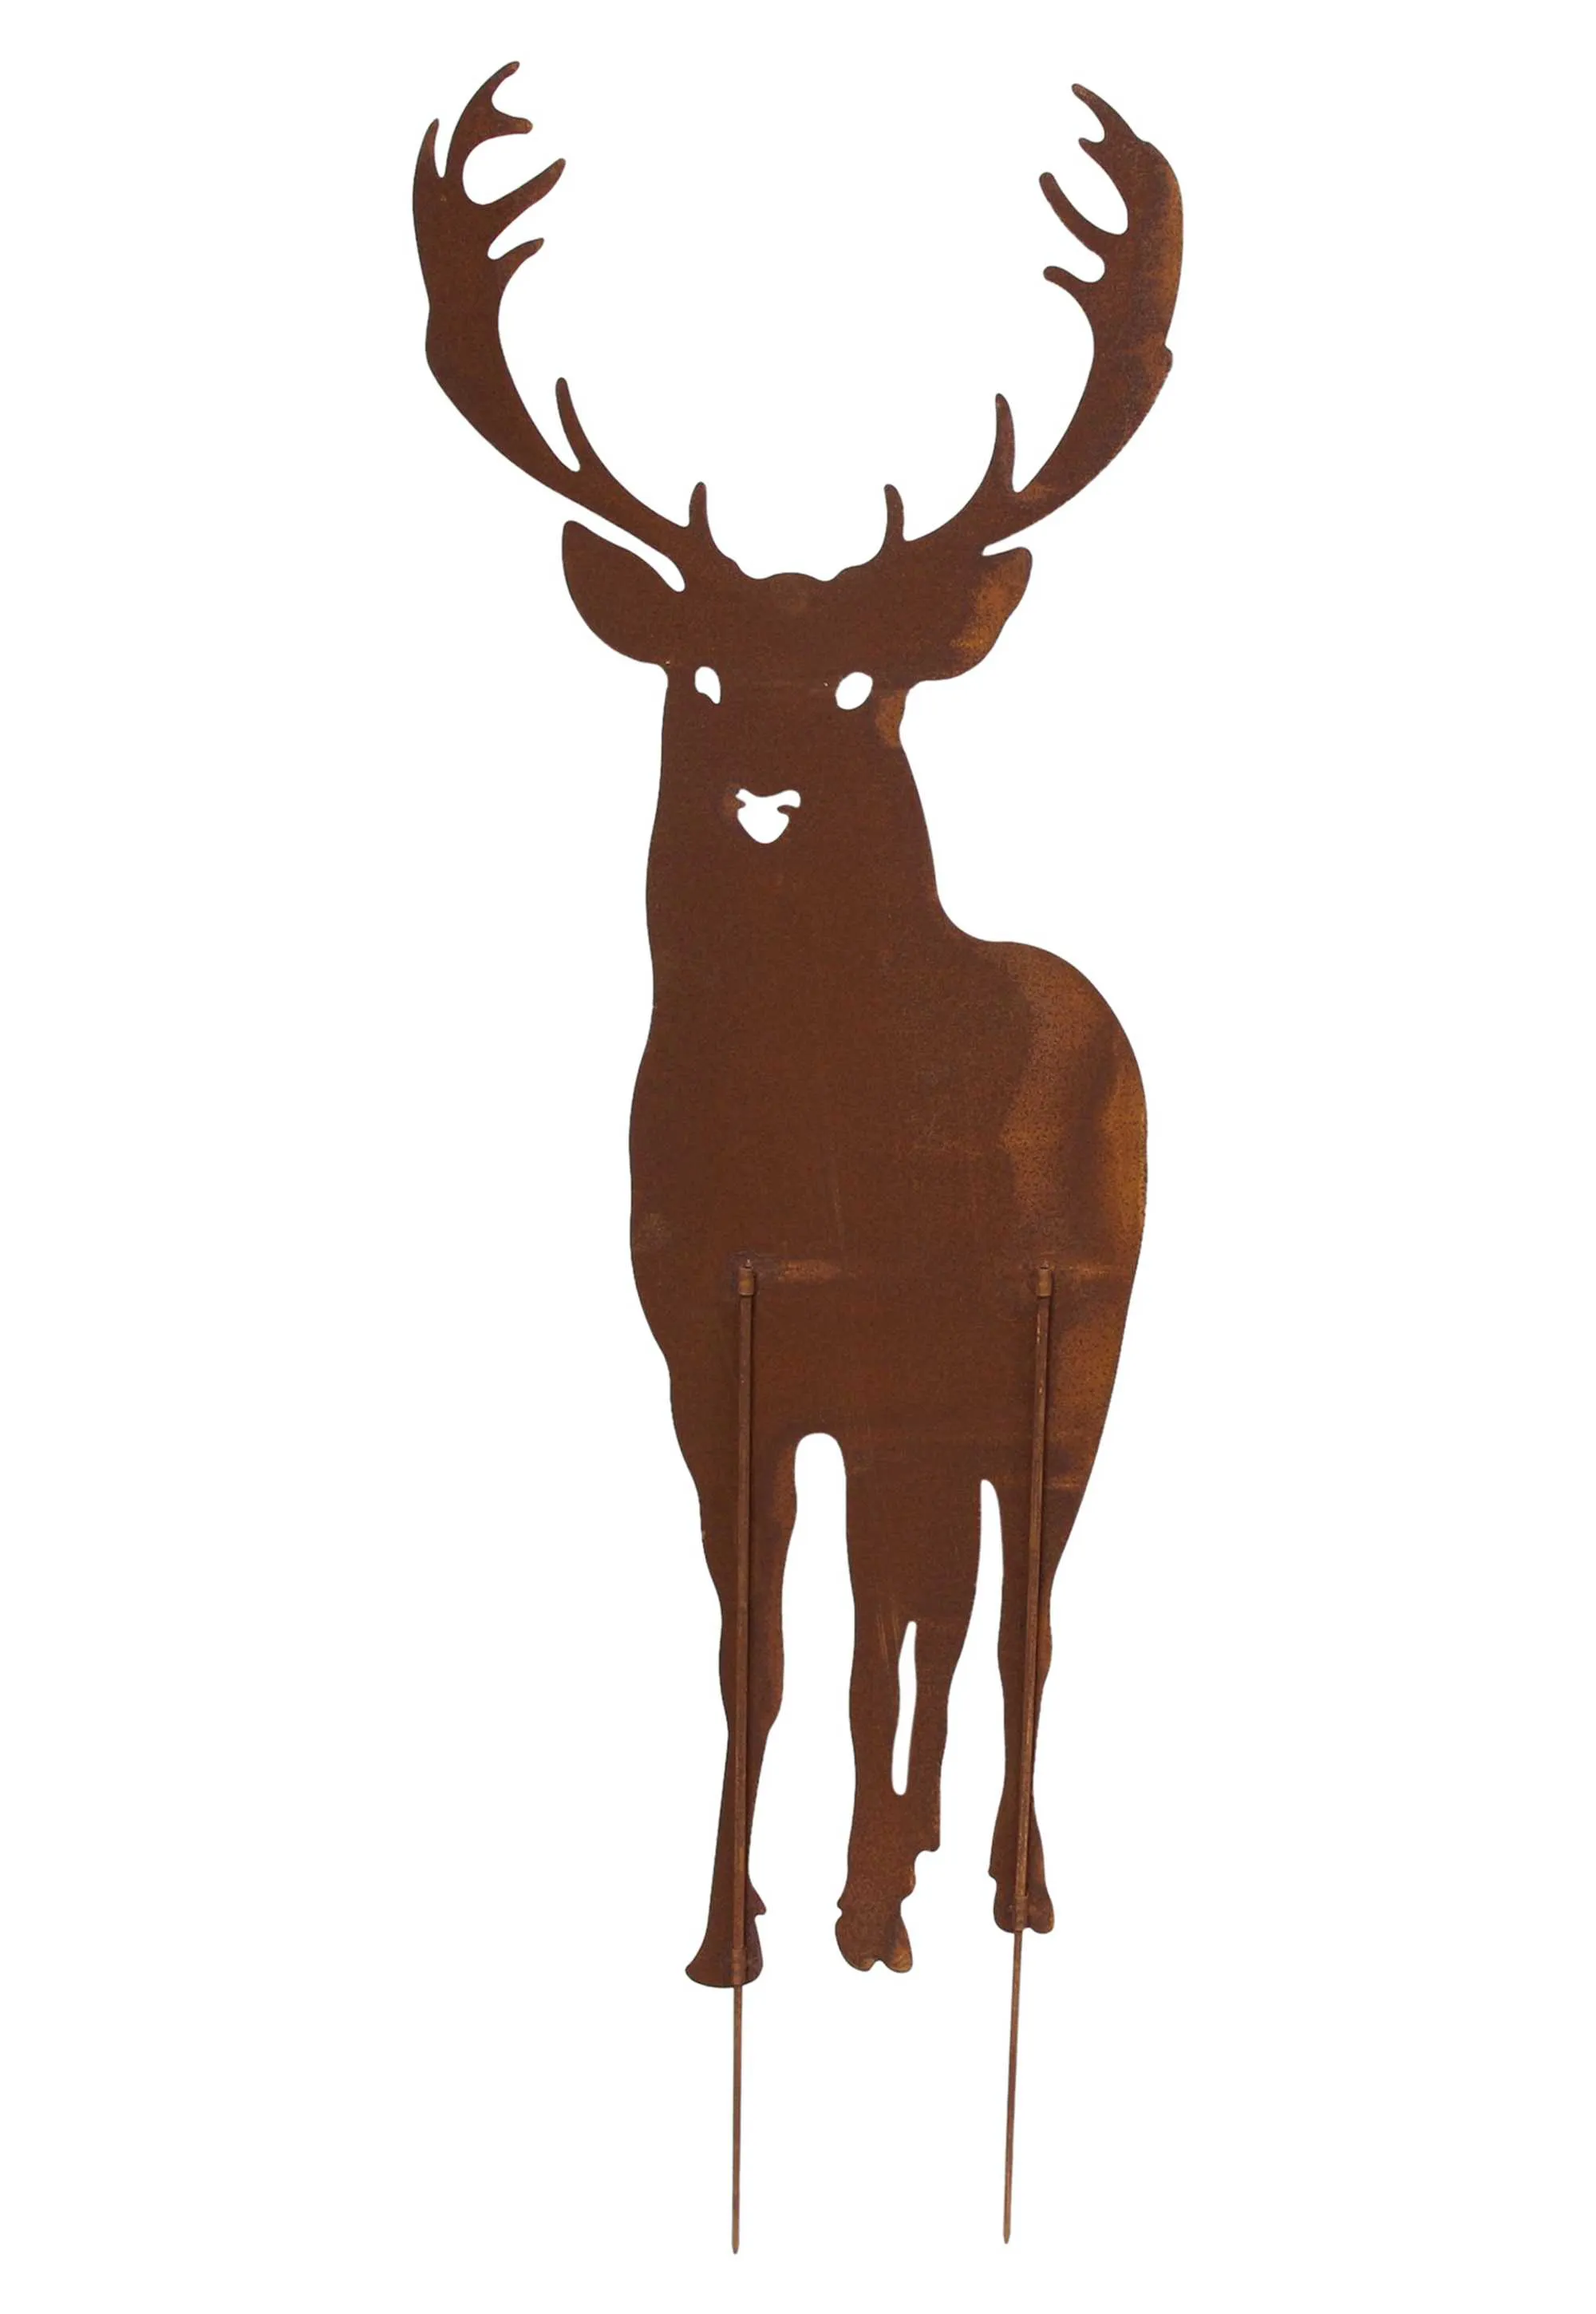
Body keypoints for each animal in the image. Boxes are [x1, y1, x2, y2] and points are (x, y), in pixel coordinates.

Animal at [414, 65, 1180, 2188]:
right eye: (696, 663)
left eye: (859, 676)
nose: (762, 786)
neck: (825, 1149)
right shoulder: (710, 1344)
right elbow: (764, 1647)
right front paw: (731, 1932)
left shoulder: (966, 1341)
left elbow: (933, 1636)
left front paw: (907, 1907)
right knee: (912, 1612)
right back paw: (882, 1873)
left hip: (1075, 1342)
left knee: (1007, 1618)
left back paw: (986, 1879)